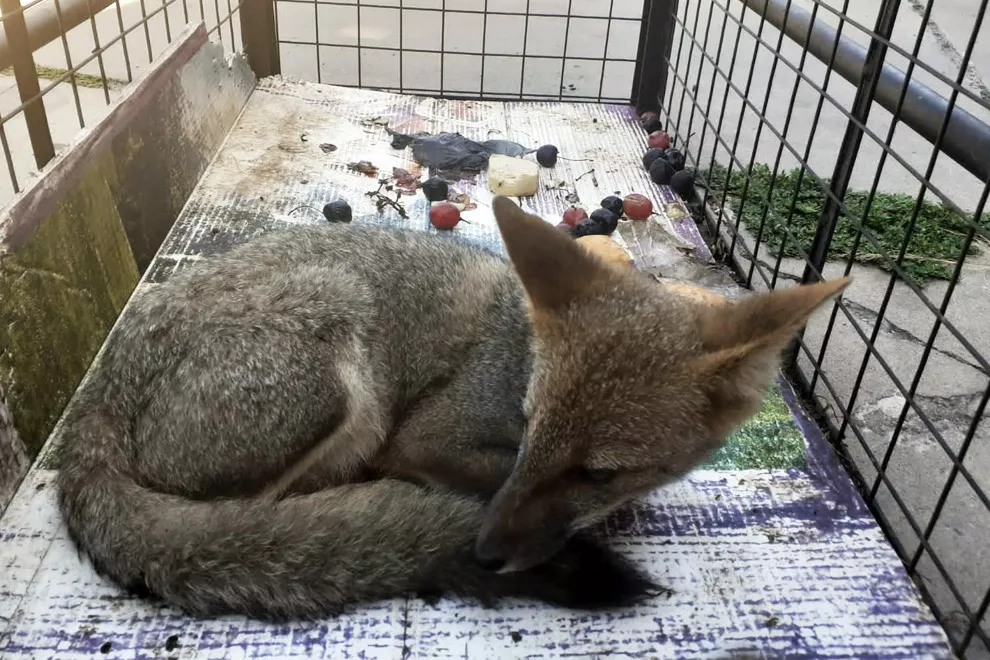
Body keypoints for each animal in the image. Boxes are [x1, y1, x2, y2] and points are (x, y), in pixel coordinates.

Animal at [56, 195, 849, 621]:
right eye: (528, 427)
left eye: (598, 471)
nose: (486, 553)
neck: (519, 346)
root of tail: (104, 383)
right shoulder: (425, 440)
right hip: (341, 368)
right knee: (253, 523)